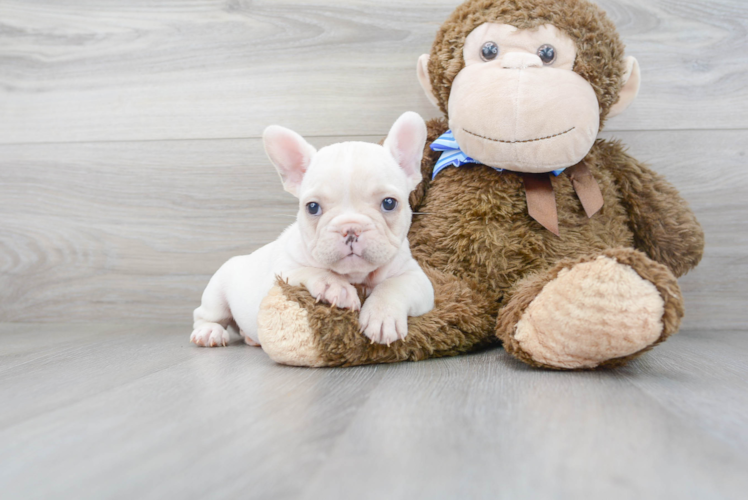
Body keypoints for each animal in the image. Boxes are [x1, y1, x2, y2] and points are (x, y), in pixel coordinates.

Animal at [190, 112, 436, 348]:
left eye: (389, 203)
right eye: (313, 207)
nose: (350, 229)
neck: (356, 276)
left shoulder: (417, 279)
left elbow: (394, 286)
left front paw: (383, 316)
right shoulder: (278, 275)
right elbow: (307, 270)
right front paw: (334, 286)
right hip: (216, 294)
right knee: (205, 316)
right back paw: (209, 332)